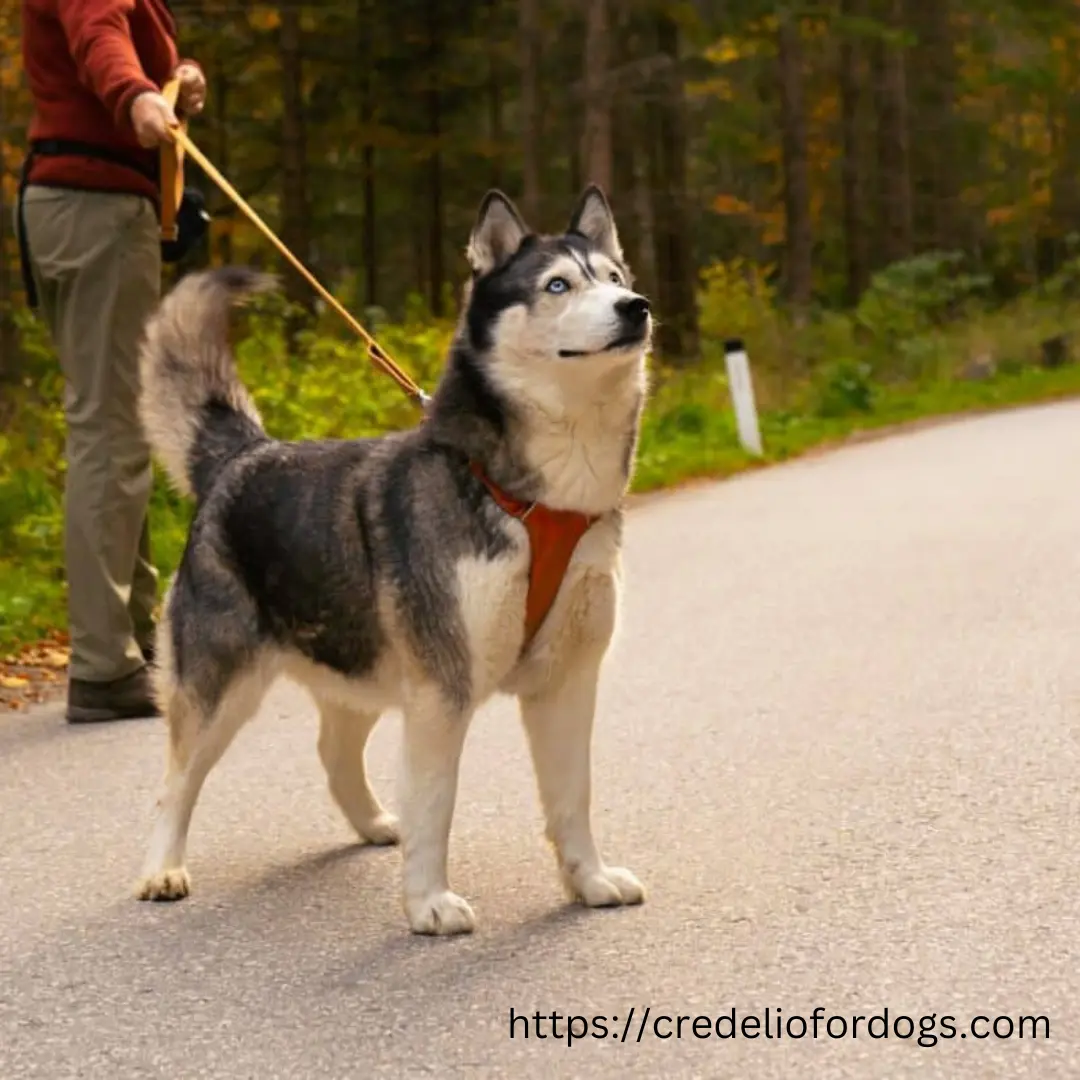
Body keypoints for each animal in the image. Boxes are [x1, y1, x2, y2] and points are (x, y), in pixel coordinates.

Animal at [135, 185, 656, 937]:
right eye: (558, 285)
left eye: (615, 277)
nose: (636, 307)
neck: (539, 500)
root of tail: (245, 454)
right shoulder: (442, 688)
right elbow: (436, 802)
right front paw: (429, 902)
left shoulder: (567, 683)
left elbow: (572, 797)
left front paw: (588, 881)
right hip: (219, 686)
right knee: (176, 778)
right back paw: (162, 867)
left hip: (359, 662)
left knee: (332, 750)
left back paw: (377, 821)